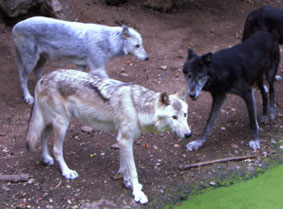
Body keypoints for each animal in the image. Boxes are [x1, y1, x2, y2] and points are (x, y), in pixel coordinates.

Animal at [12, 16, 150, 105]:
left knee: (37, 72)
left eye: (141, 44)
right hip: (30, 61)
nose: (147, 58)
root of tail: (15, 26)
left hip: (42, 59)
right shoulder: (98, 69)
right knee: (23, 78)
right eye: (137, 46)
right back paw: (28, 97)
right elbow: (112, 82)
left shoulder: (81, 66)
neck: (109, 41)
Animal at [25, 69, 192, 204]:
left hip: (53, 122)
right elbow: (133, 170)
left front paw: (127, 183)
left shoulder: (123, 140)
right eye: (174, 117)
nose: (188, 134)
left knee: (43, 135)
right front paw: (138, 193)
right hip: (62, 124)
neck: (138, 107)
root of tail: (43, 77)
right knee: (56, 149)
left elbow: (124, 167)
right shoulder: (125, 140)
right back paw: (67, 172)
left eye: (185, 115)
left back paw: (46, 158)